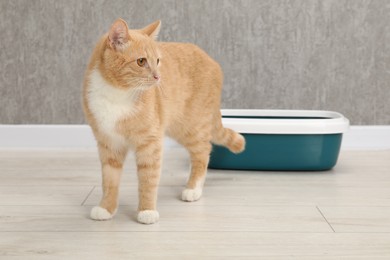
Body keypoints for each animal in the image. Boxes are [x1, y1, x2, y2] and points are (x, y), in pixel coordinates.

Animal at [83, 18, 244, 223]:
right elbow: (109, 180)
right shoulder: (108, 144)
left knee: (203, 151)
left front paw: (147, 211)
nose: (158, 76)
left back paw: (193, 188)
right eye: (141, 61)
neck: (118, 93)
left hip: (192, 126)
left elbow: (148, 179)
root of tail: (212, 61)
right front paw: (107, 208)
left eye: (158, 61)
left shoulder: (150, 143)